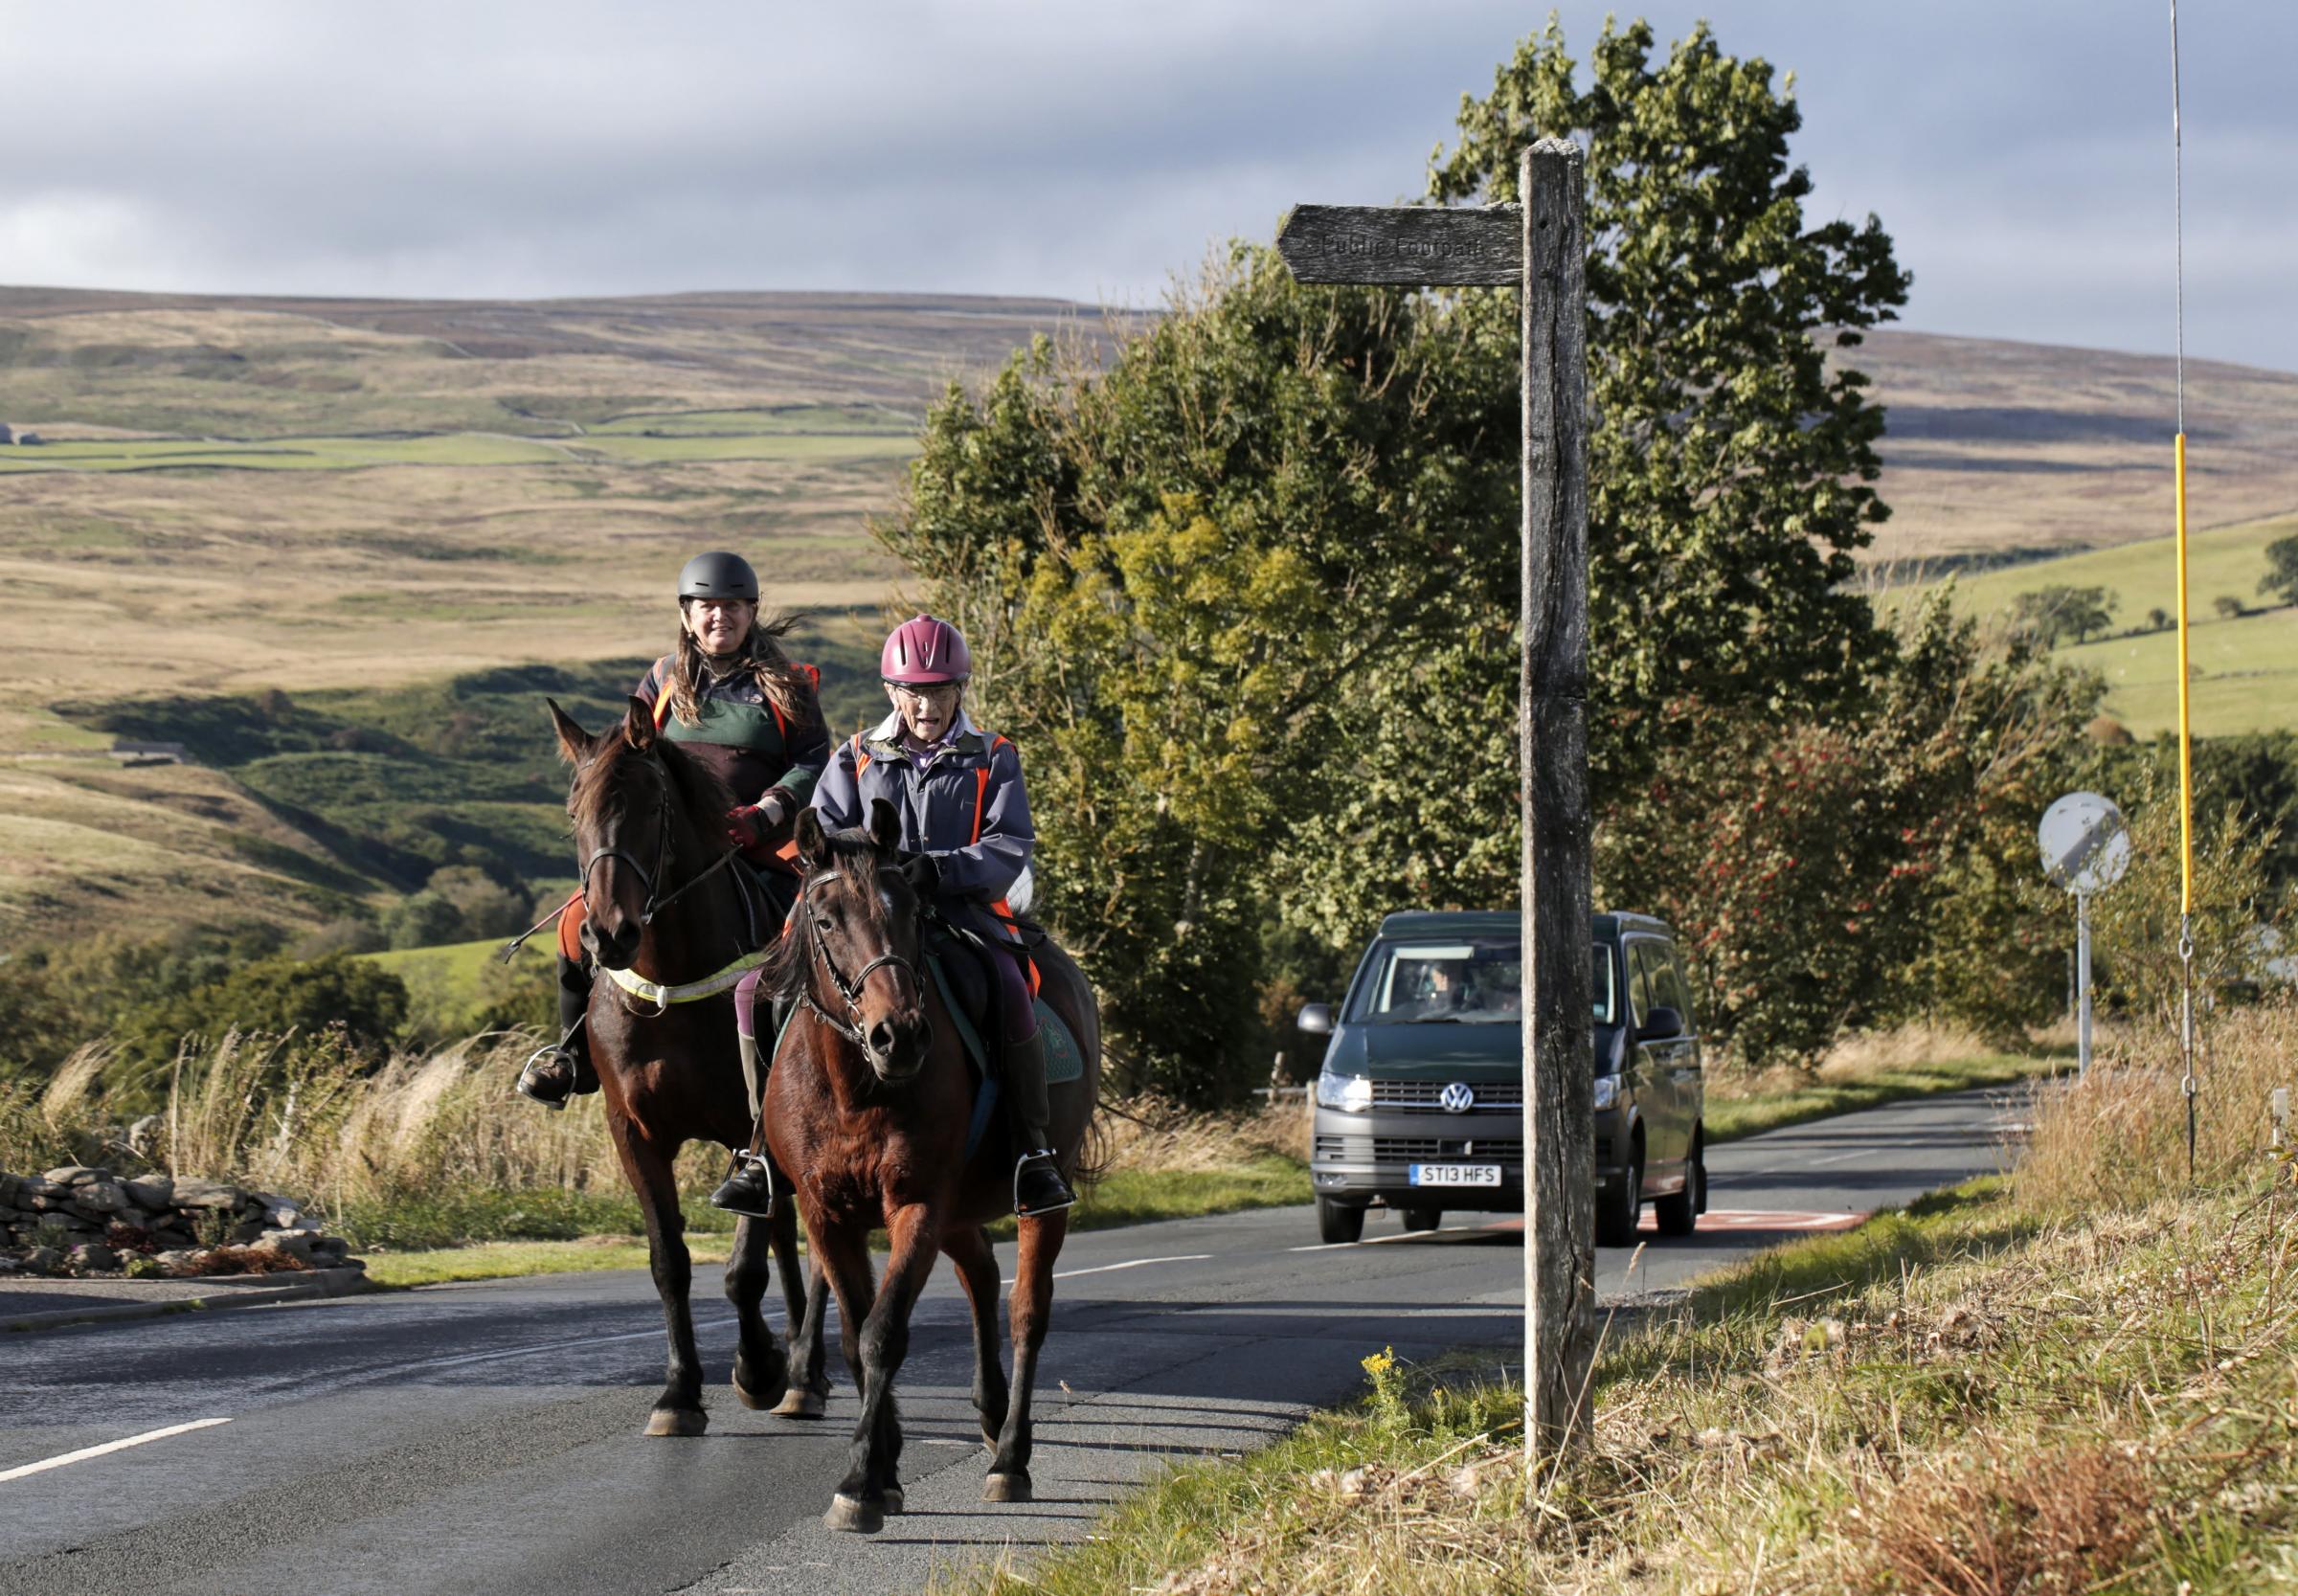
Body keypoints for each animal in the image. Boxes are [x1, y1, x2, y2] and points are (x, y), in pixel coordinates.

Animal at [547, 698, 827, 1432]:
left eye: (651, 807)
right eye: (574, 811)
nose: (608, 933)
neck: (672, 979)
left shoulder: (748, 1127)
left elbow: (743, 1269)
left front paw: (756, 1368)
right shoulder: (634, 1132)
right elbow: (669, 1261)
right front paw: (679, 1392)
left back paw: (804, 1371)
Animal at [762, 803, 1103, 1542]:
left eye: (912, 912)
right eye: (824, 918)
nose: (901, 1035)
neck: (856, 1085)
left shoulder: (915, 1203)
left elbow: (882, 1333)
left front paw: (860, 1482)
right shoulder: (825, 1215)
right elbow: (853, 1336)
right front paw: (884, 1468)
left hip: (1038, 1198)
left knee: (1026, 1312)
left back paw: (1010, 1456)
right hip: (959, 1213)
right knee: (980, 1274)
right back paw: (990, 1412)